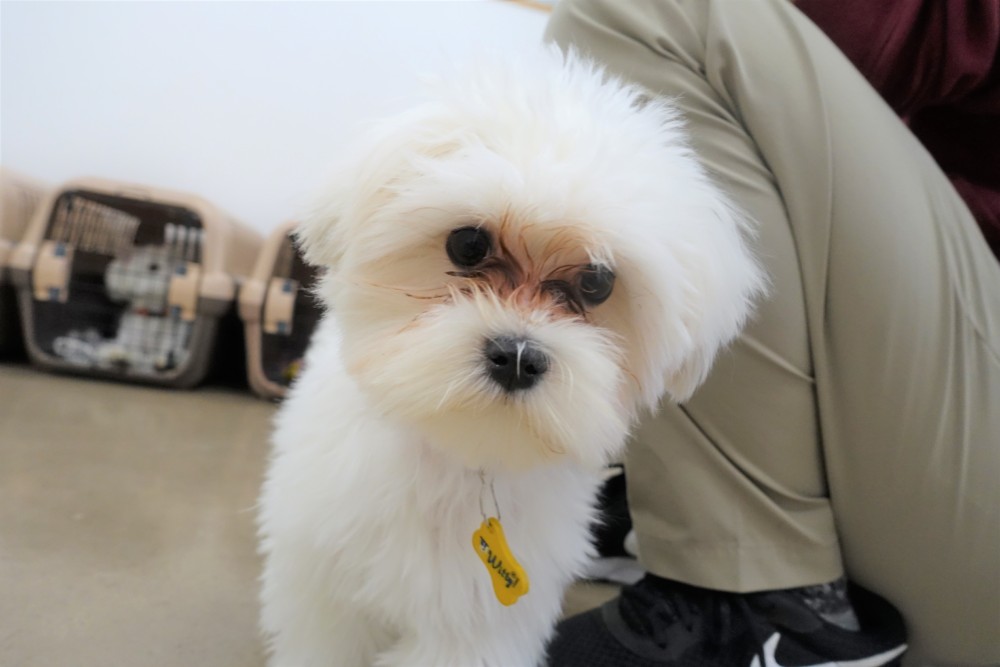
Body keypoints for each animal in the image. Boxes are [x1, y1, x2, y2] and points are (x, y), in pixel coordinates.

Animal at [257, 48, 765, 667]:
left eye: (597, 282)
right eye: (468, 244)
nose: (518, 358)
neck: (463, 455)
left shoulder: (473, 628)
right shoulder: (324, 590)